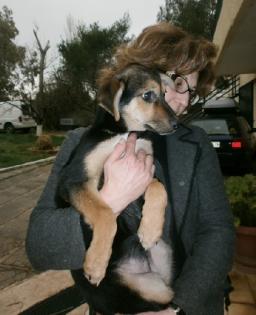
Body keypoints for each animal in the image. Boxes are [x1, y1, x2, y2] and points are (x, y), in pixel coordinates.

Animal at [57, 65, 178, 315]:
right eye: (148, 95)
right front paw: (96, 263)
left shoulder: (145, 168)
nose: (176, 124)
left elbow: (158, 187)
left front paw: (150, 229)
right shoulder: (74, 180)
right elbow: (105, 213)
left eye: (164, 94)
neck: (124, 132)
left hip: (161, 273)